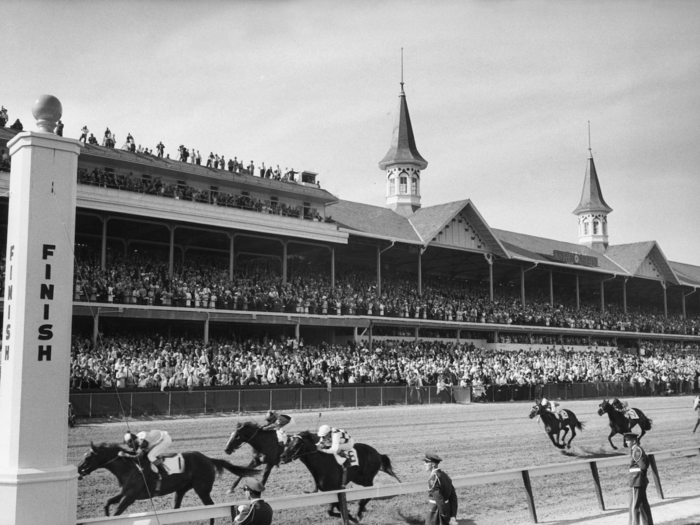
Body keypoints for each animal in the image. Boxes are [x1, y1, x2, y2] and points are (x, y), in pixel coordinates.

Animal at [76, 440, 262, 520]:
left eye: (88, 457)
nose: (78, 469)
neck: (129, 467)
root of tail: (209, 458)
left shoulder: (130, 496)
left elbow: (117, 512)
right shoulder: (125, 492)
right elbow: (107, 503)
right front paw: (106, 516)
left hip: (201, 489)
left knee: (210, 508)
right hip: (181, 489)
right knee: (177, 507)